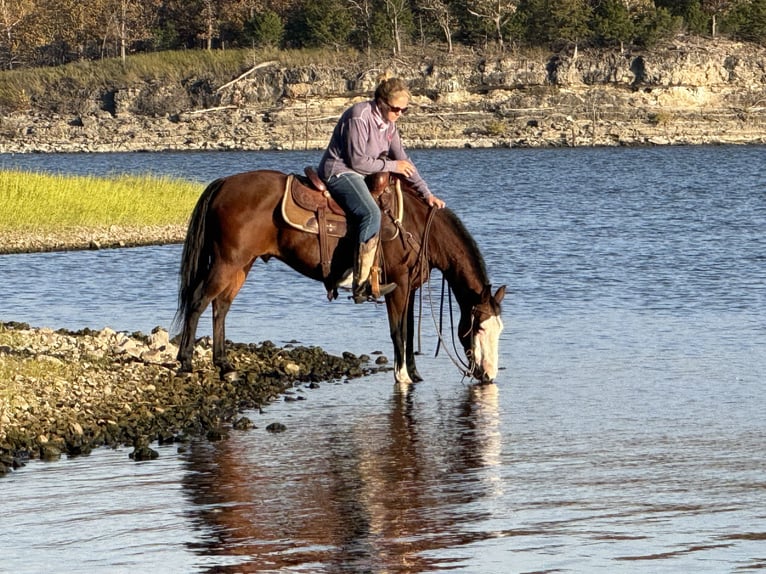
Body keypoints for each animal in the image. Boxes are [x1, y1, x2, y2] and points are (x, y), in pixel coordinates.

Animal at [174, 169, 505, 384]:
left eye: (499, 330)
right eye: (478, 328)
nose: (489, 375)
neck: (417, 225)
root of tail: (224, 183)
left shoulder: (409, 289)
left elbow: (409, 332)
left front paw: (414, 373)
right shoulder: (396, 287)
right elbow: (398, 332)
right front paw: (402, 376)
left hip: (242, 265)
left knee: (221, 307)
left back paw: (224, 364)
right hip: (226, 262)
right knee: (198, 301)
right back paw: (185, 361)